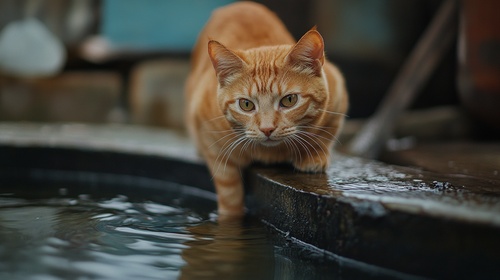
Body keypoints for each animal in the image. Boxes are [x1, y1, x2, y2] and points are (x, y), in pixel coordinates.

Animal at [185, 1, 348, 218]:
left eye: (289, 100)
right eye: (246, 104)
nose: (267, 129)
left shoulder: (337, 91)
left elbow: (326, 134)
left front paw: (314, 155)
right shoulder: (208, 134)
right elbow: (229, 189)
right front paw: (230, 216)